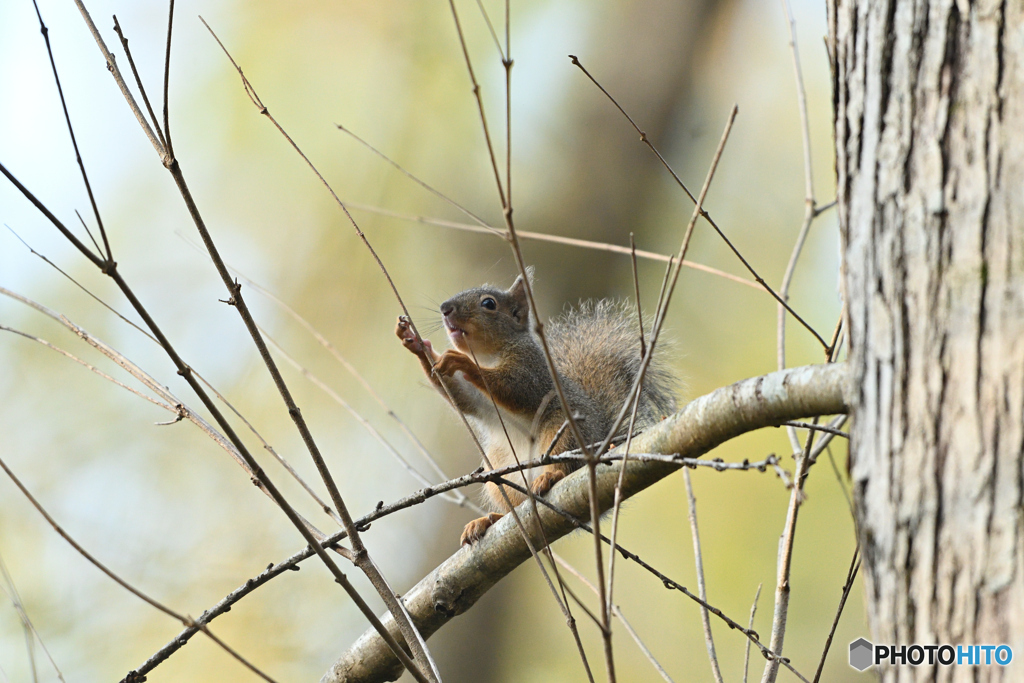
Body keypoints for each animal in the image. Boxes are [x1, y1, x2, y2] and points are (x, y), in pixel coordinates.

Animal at [395, 270, 675, 548]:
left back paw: (551, 477)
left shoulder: (531, 371)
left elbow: (515, 389)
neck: (487, 356)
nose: (445, 309)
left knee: (565, 465)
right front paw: (418, 344)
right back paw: (490, 519)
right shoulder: (476, 399)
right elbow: (461, 398)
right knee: (515, 507)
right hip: (498, 474)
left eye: (489, 303)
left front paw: (462, 360)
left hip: (564, 432)